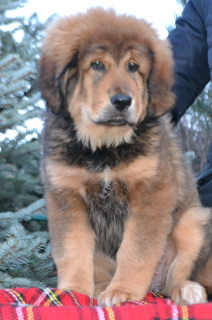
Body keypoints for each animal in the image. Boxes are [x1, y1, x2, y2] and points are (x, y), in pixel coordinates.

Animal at [39, 7, 212, 306]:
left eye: (133, 66)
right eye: (97, 64)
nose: (122, 101)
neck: (106, 148)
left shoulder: (152, 193)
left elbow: (136, 251)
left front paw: (124, 291)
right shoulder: (65, 196)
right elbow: (72, 251)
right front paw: (73, 291)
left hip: (193, 222)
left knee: (174, 277)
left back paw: (186, 290)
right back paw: (100, 288)